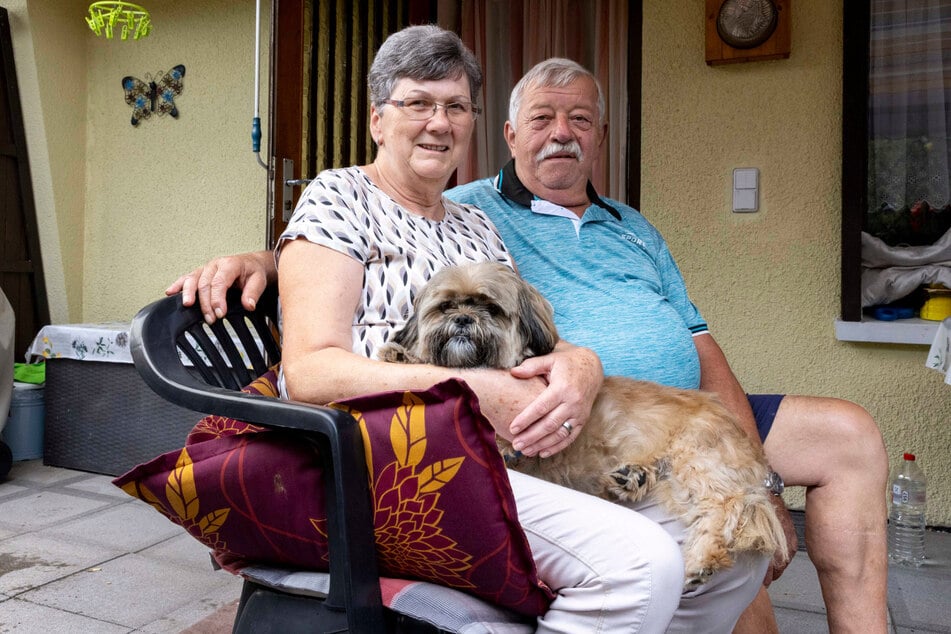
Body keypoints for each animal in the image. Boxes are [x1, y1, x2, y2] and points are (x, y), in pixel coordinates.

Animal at [380, 260, 788, 584]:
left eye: (491, 309)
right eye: (445, 306)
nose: (463, 319)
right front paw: (399, 355)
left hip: (697, 461)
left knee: (726, 508)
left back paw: (702, 558)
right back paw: (633, 478)